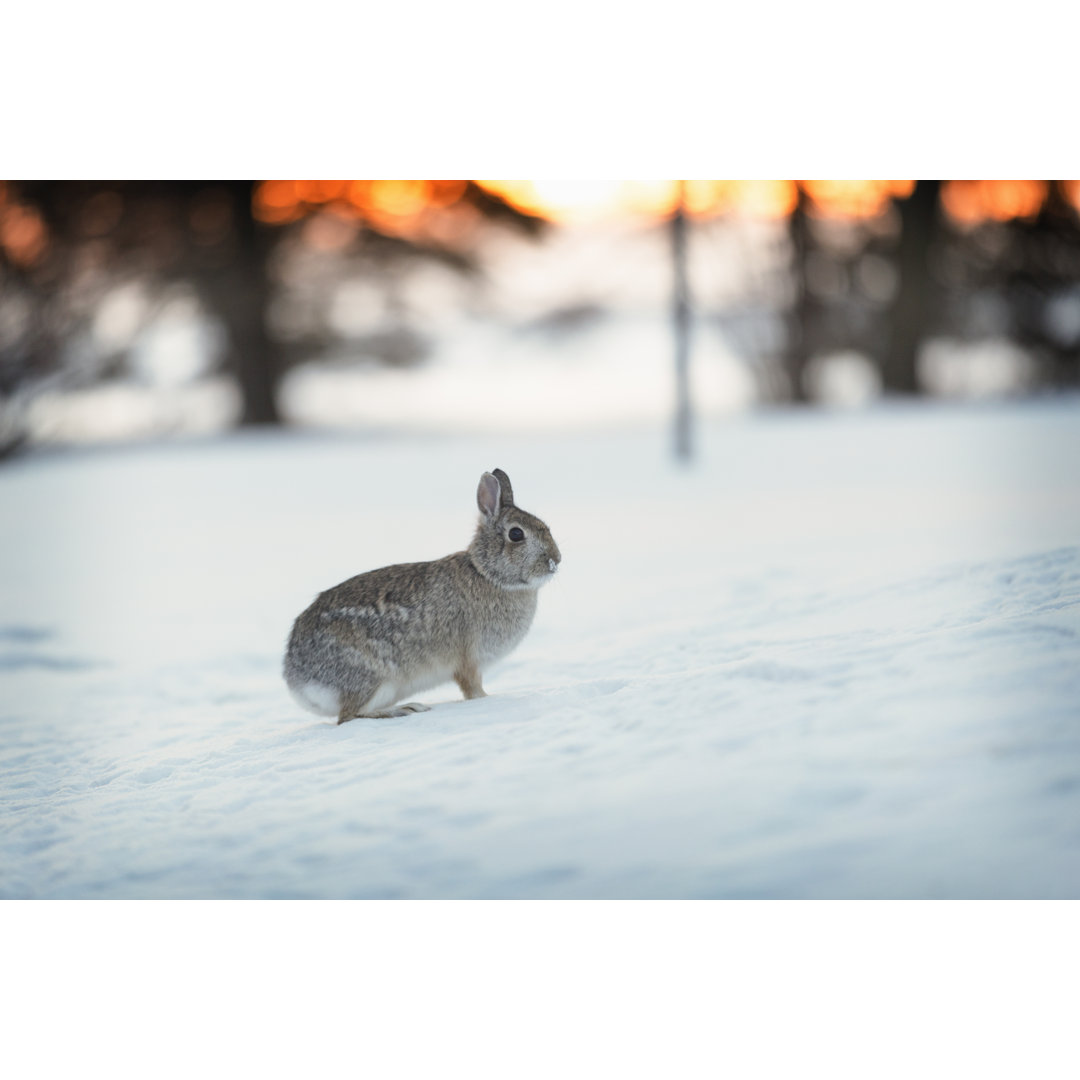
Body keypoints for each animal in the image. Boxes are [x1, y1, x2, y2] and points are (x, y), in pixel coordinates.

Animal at [282, 466, 561, 725]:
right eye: (516, 534)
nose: (555, 560)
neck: (487, 573)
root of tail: (296, 678)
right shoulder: (468, 660)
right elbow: (472, 689)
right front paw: (486, 700)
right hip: (372, 676)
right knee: (349, 716)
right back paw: (403, 709)